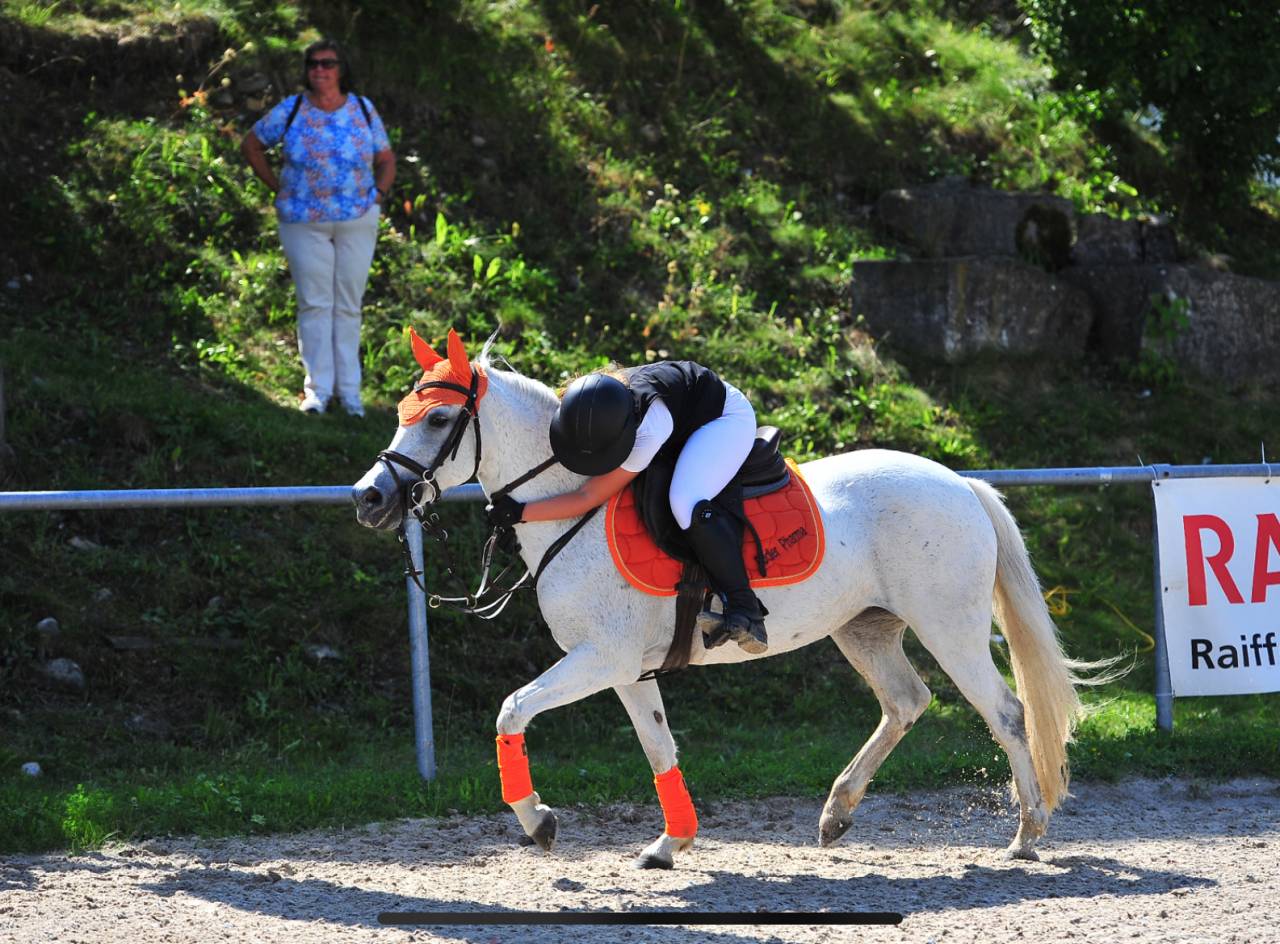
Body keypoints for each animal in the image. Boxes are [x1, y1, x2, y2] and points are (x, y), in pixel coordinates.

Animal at [353, 328, 1107, 870]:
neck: (572, 500)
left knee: (1005, 713)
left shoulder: (601, 659)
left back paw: (1028, 833)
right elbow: (659, 747)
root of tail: (959, 481)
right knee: (906, 701)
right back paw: (837, 812)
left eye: (439, 418)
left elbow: (512, 709)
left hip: (948, 625)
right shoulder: (627, 669)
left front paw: (539, 822)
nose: (369, 498)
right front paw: (671, 844)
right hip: (864, 628)